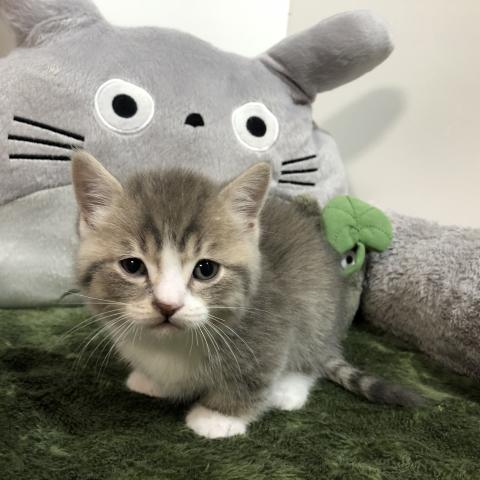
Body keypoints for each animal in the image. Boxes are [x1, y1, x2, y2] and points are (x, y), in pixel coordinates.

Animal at [71, 150, 422, 439]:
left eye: (206, 269)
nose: (167, 305)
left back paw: (289, 388)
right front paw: (151, 380)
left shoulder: (272, 322)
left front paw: (218, 416)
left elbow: (253, 373)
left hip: (318, 304)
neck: (175, 344)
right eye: (132, 266)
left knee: (312, 351)